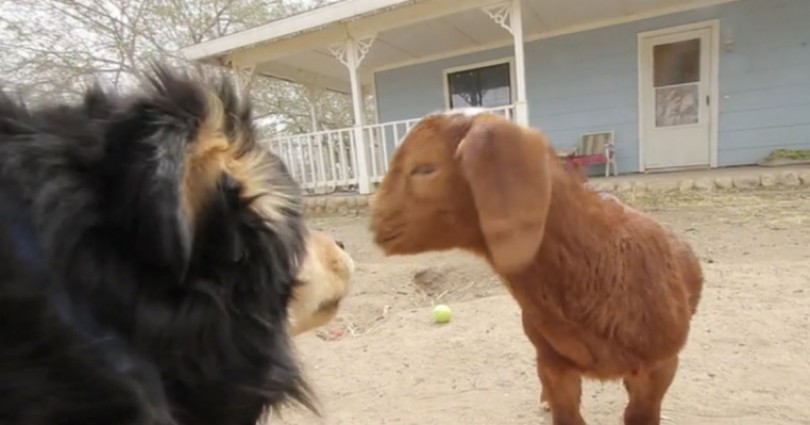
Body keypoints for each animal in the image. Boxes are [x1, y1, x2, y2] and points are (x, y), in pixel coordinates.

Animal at [370, 110, 696, 424]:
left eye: (425, 168)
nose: (375, 222)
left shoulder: (662, 364)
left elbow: (639, 413)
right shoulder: (553, 363)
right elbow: (566, 414)